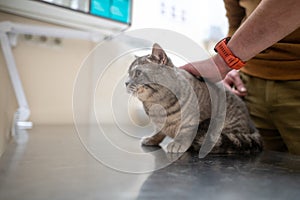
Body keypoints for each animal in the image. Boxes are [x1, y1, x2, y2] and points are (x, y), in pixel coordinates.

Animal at [126, 43, 262, 154]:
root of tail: (251, 126)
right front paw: (153, 139)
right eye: (128, 74)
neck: (156, 104)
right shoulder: (160, 124)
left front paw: (178, 143)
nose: (126, 83)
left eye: (138, 73)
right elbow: (159, 131)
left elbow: (185, 132)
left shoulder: (191, 120)